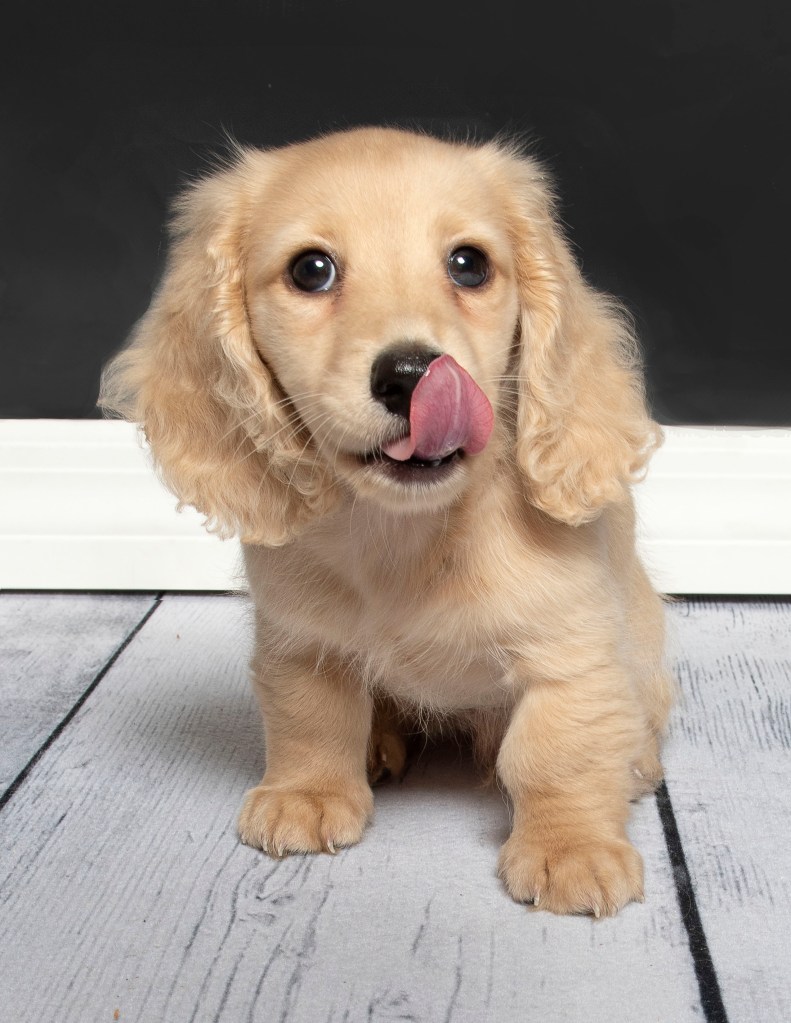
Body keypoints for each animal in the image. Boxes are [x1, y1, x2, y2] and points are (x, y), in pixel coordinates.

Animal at [101, 123, 675, 916]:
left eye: (469, 264)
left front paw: (571, 845)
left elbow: (555, 750)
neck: (408, 534)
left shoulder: (572, 652)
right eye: (311, 270)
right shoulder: (300, 640)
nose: (410, 375)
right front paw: (308, 792)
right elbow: (311, 717)